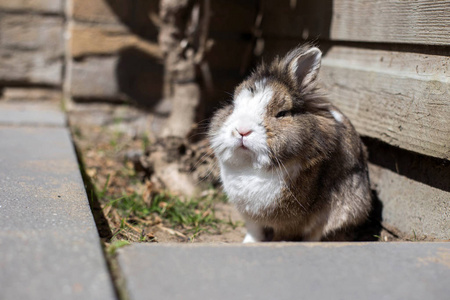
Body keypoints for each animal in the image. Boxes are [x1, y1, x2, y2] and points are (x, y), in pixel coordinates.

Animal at [209, 44, 370, 243]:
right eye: (233, 106)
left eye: (282, 113)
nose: (242, 130)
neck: (252, 167)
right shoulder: (250, 216)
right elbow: (254, 231)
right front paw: (248, 243)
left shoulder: (289, 221)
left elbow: (282, 235)